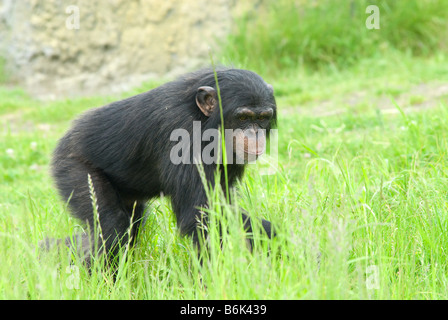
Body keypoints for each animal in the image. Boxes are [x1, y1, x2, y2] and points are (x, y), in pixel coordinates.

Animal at [51, 67, 276, 260]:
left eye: (263, 118)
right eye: (243, 117)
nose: (255, 134)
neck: (204, 120)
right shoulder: (182, 133)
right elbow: (201, 215)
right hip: (74, 168)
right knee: (111, 228)